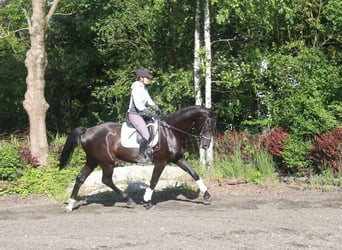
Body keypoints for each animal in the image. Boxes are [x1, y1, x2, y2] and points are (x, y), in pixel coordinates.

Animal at [59, 105, 216, 211]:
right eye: (208, 124)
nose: (206, 145)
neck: (171, 131)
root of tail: (88, 130)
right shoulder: (161, 161)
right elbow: (154, 180)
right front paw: (147, 200)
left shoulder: (178, 158)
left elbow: (193, 173)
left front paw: (207, 194)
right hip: (107, 162)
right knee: (106, 180)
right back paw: (129, 201)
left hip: (92, 161)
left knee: (81, 178)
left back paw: (70, 205)